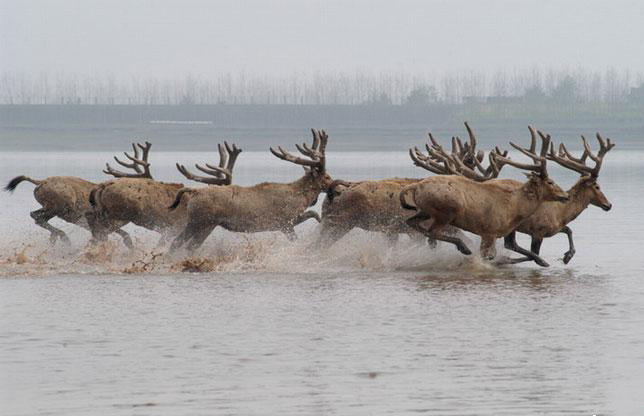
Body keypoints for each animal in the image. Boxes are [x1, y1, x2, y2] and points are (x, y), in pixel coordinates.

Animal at [169, 128, 334, 250]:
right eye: (327, 177)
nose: (334, 185)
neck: (300, 198)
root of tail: (194, 191)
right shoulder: (285, 222)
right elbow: (305, 225)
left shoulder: (287, 222)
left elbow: (312, 213)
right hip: (204, 222)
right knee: (188, 245)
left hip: (197, 222)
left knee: (176, 242)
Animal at [400, 125, 572, 266]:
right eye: (550, 181)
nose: (565, 196)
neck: (514, 207)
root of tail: (416, 186)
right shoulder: (490, 230)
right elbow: (487, 256)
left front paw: (543, 261)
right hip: (446, 211)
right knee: (432, 233)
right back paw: (463, 247)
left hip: (425, 210)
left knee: (413, 223)